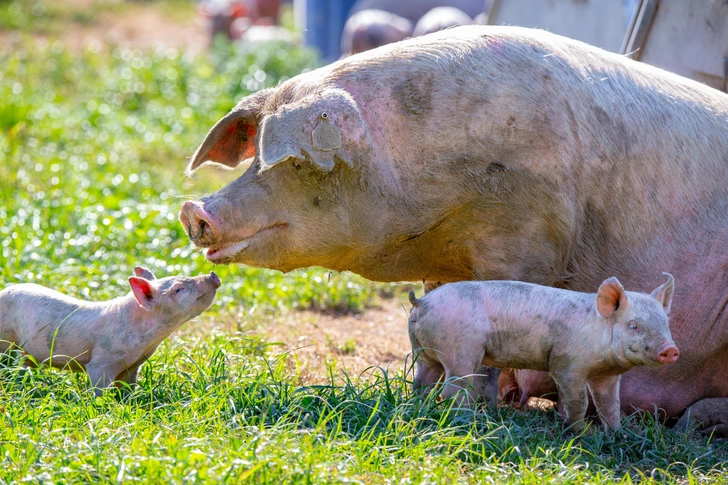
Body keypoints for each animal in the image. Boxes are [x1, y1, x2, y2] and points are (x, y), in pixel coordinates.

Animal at [406, 272, 680, 432]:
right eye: (634, 326)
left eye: (665, 324)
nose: (671, 350)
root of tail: (422, 301)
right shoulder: (566, 364)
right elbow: (578, 402)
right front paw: (578, 433)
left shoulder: (607, 376)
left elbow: (610, 405)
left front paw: (616, 435)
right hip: (460, 351)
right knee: (453, 390)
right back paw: (463, 420)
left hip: (424, 352)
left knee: (423, 382)